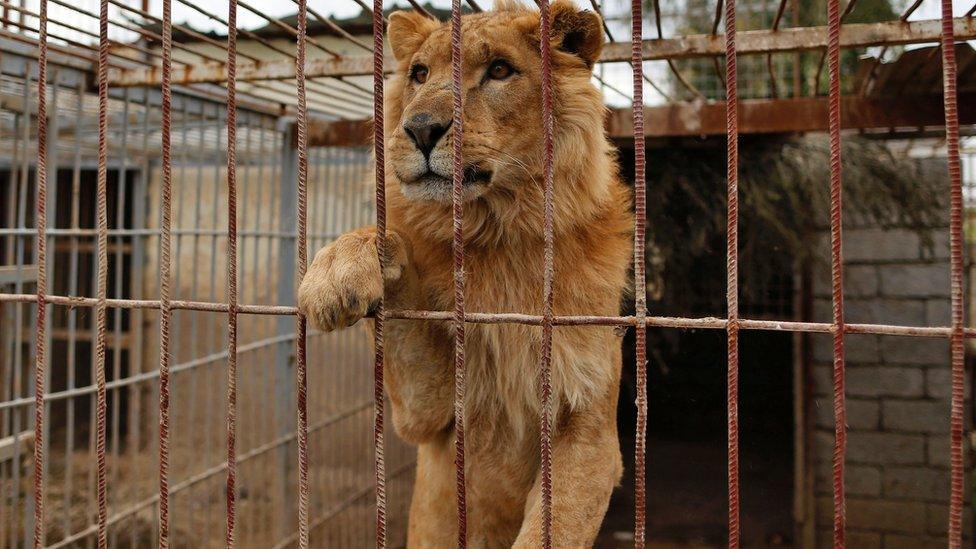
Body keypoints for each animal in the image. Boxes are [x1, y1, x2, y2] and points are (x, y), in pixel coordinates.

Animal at [298, 2, 632, 544]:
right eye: (419, 74)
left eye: (498, 70)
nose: (420, 129)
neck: (498, 232)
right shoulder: (429, 415)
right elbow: (389, 241)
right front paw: (336, 271)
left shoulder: (592, 432)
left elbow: (554, 527)